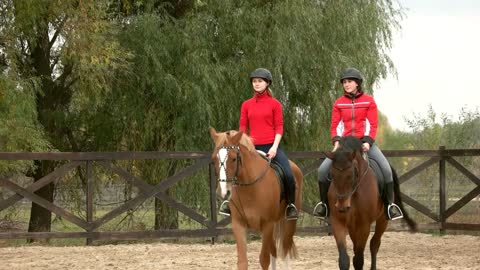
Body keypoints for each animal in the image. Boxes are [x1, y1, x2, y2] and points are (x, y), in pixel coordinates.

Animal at [210, 127, 304, 270]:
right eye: (214, 159)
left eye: (233, 158)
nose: (223, 192)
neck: (250, 188)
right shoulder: (238, 224)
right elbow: (242, 262)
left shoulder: (267, 225)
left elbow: (264, 260)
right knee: (274, 251)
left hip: (289, 223)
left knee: (285, 249)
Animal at [324, 137, 418, 270]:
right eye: (331, 174)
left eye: (351, 175)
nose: (341, 206)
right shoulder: (338, 221)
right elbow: (344, 260)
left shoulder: (364, 225)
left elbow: (359, 260)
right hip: (352, 225)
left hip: (382, 220)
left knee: (374, 244)